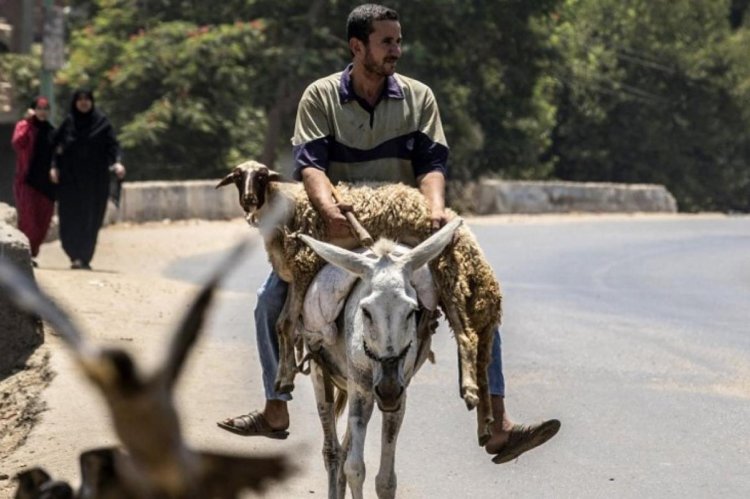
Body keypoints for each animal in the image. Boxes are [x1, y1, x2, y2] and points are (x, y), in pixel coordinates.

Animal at [216, 160, 506, 446]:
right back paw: (486, 423)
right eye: (237, 177)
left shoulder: (303, 266)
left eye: (261, 176)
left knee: (467, 335)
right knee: (482, 351)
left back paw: (470, 391)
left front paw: (284, 379)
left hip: (448, 273)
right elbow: (282, 323)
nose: (248, 199)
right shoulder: (296, 276)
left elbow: (284, 323)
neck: (285, 207)